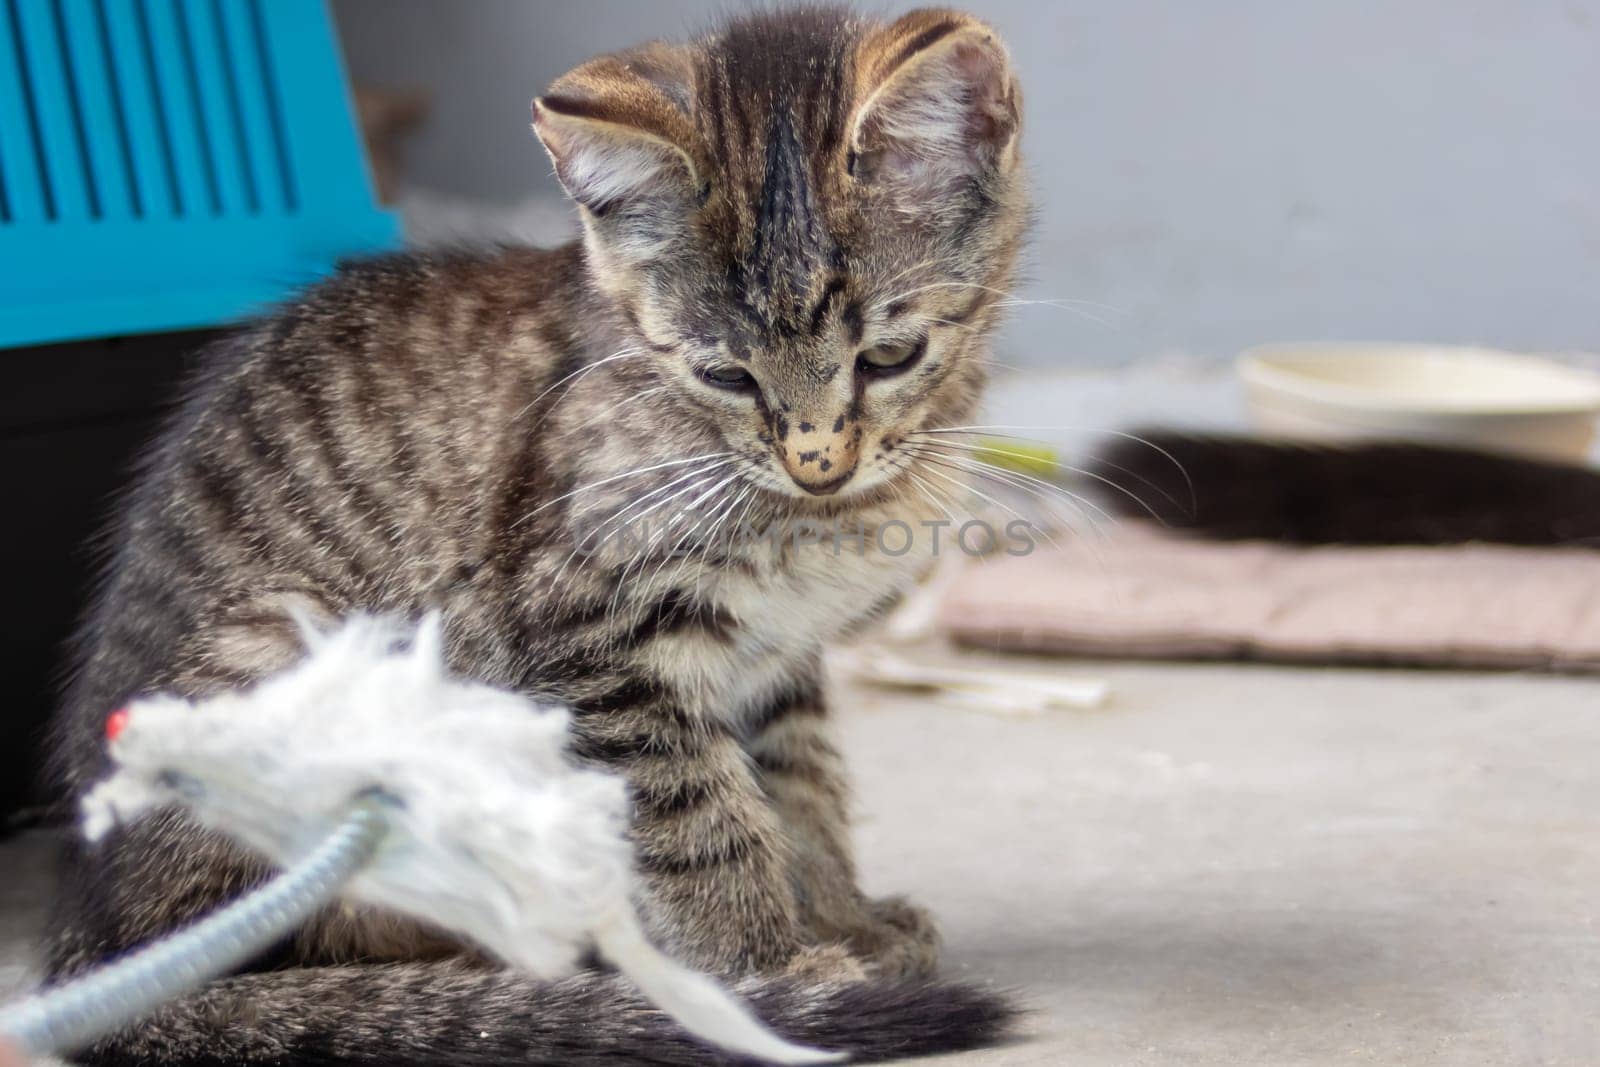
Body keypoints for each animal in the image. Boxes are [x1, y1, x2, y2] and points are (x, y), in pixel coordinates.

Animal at [50, 4, 1030, 1062]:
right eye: (726, 376)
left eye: (889, 356)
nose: (819, 462)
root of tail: (93, 938)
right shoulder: (593, 643)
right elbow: (700, 816)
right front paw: (765, 972)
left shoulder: (777, 658)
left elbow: (800, 784)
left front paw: (842, 914)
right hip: (301, 657)